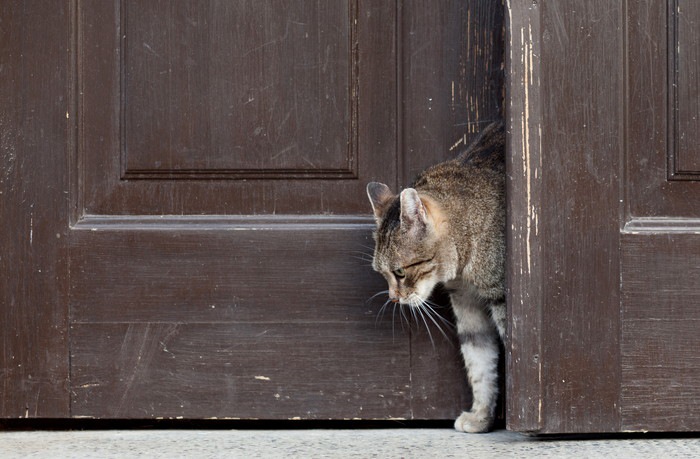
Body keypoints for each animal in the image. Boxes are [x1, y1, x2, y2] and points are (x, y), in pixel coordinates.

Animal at [366, 120, 504, 434]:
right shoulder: (467, 303)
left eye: (400, 272)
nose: (393, 299)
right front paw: (481, 416)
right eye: (381, 273)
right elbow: (479, 362)